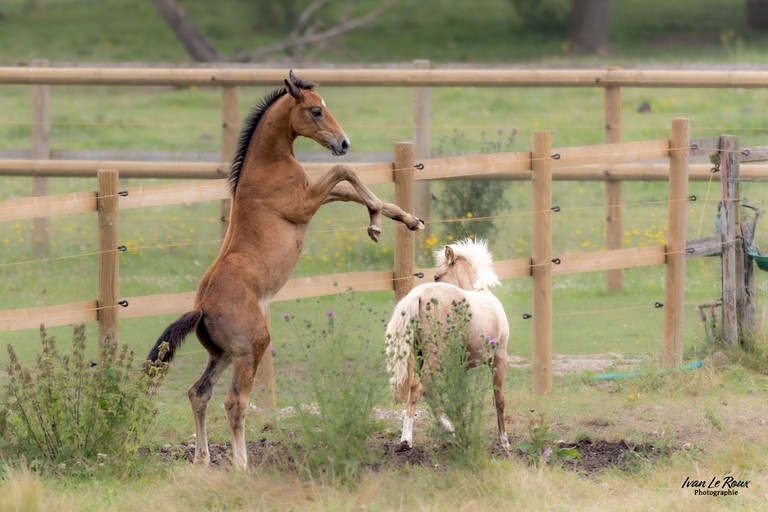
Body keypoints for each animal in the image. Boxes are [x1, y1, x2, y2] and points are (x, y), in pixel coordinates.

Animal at [146, 70, 424, 470]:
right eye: (315, 111)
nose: (343, 142)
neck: (266, 166)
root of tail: (201, 309)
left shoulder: (314, 195)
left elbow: (350, 188)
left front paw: (407, 220)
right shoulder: (303, 204)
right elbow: (345, 174)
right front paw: (375, 224)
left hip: (222, 354)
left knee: (199, 392)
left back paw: (202, 459)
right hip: (251, 350)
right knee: (233, 401)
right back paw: (241, 466)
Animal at [385, 238, 510, 452]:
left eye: (438, 276)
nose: (434, 278)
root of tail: (418, 294)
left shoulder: (461, 366)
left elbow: (460, 397)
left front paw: (462, 430)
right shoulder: (499, 358)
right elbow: (499, 400)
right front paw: (505, 442)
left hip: (421, 356)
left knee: (427, 390)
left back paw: (449, 431)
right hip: (436, 358)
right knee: (418, 388)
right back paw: (407, 439)